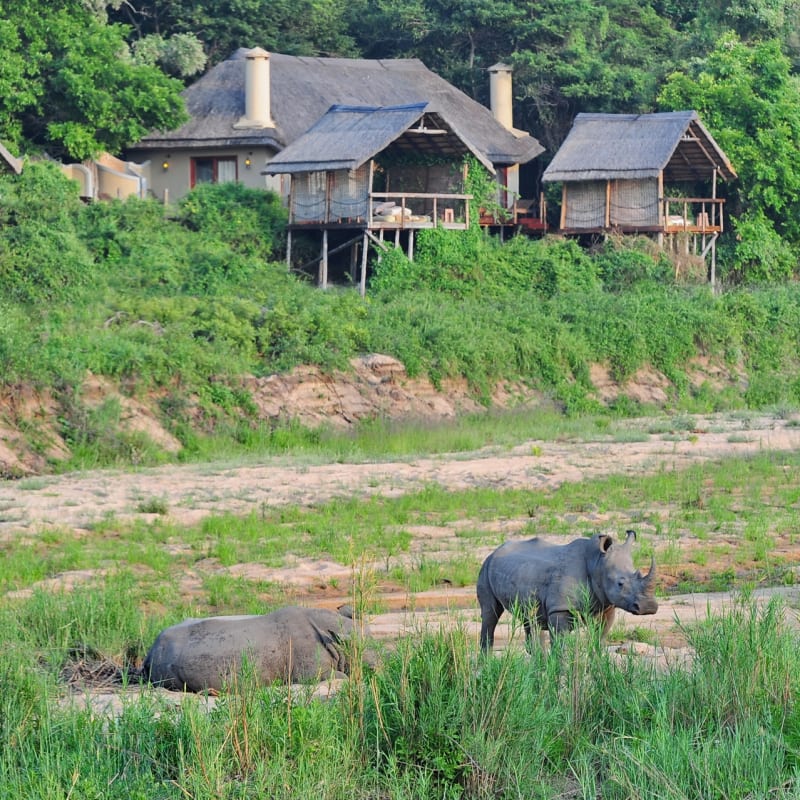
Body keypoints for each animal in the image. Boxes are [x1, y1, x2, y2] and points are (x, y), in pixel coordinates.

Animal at [477, 530, 658, 651]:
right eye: (620, 583)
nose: (648, 607)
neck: (597, 563)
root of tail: (495, 551)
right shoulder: (560, 609)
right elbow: (561, 648)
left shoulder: (606, 606)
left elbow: (598, 641)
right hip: (485, 567)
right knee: (490, 613)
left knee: (531, 620)